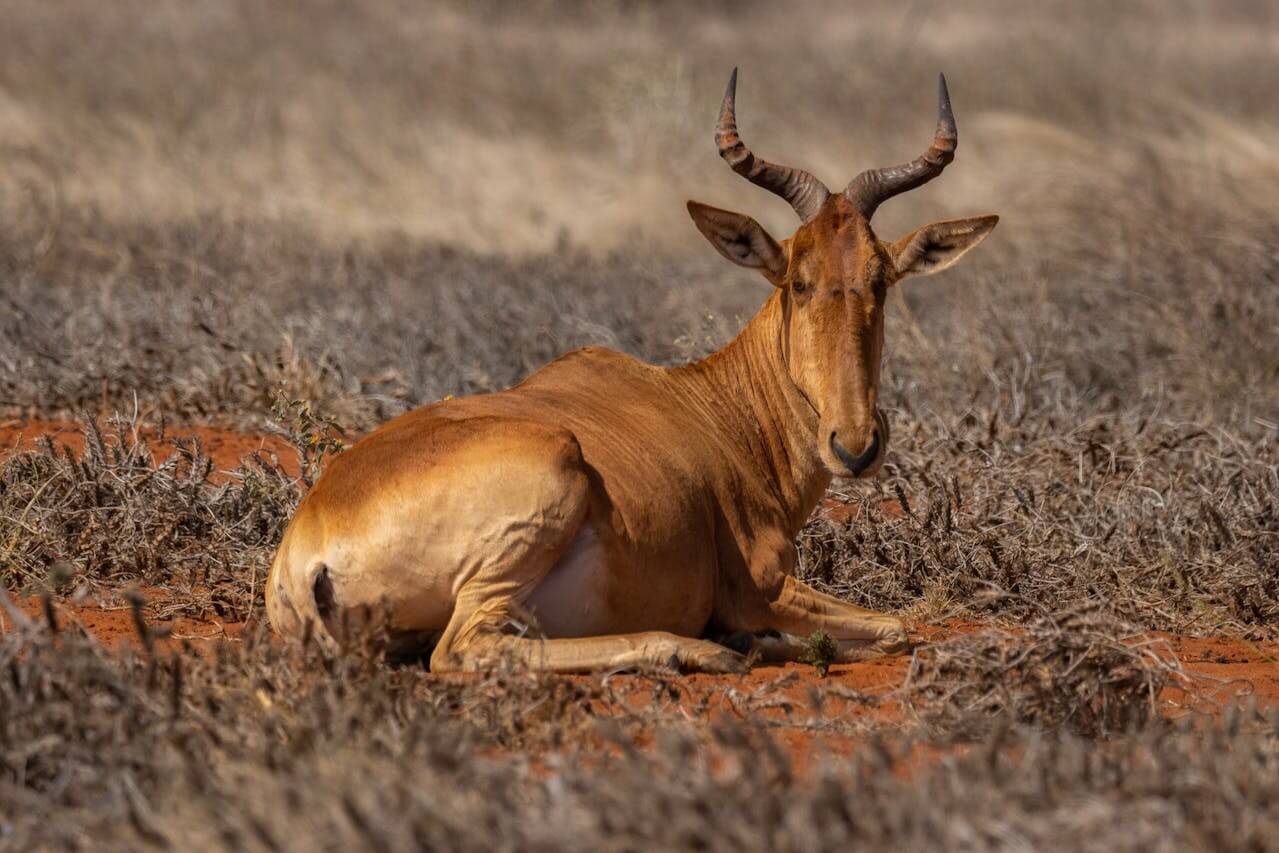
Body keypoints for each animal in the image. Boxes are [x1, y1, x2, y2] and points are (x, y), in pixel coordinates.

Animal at [266, 71, 998, 673]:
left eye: (881, 279)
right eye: (797, 278)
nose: (854, 444)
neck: (712, 408)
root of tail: (309, 546)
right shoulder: (759, 585)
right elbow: (896, 627)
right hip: (542, 495)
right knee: (465, 649)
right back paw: (696, 650)